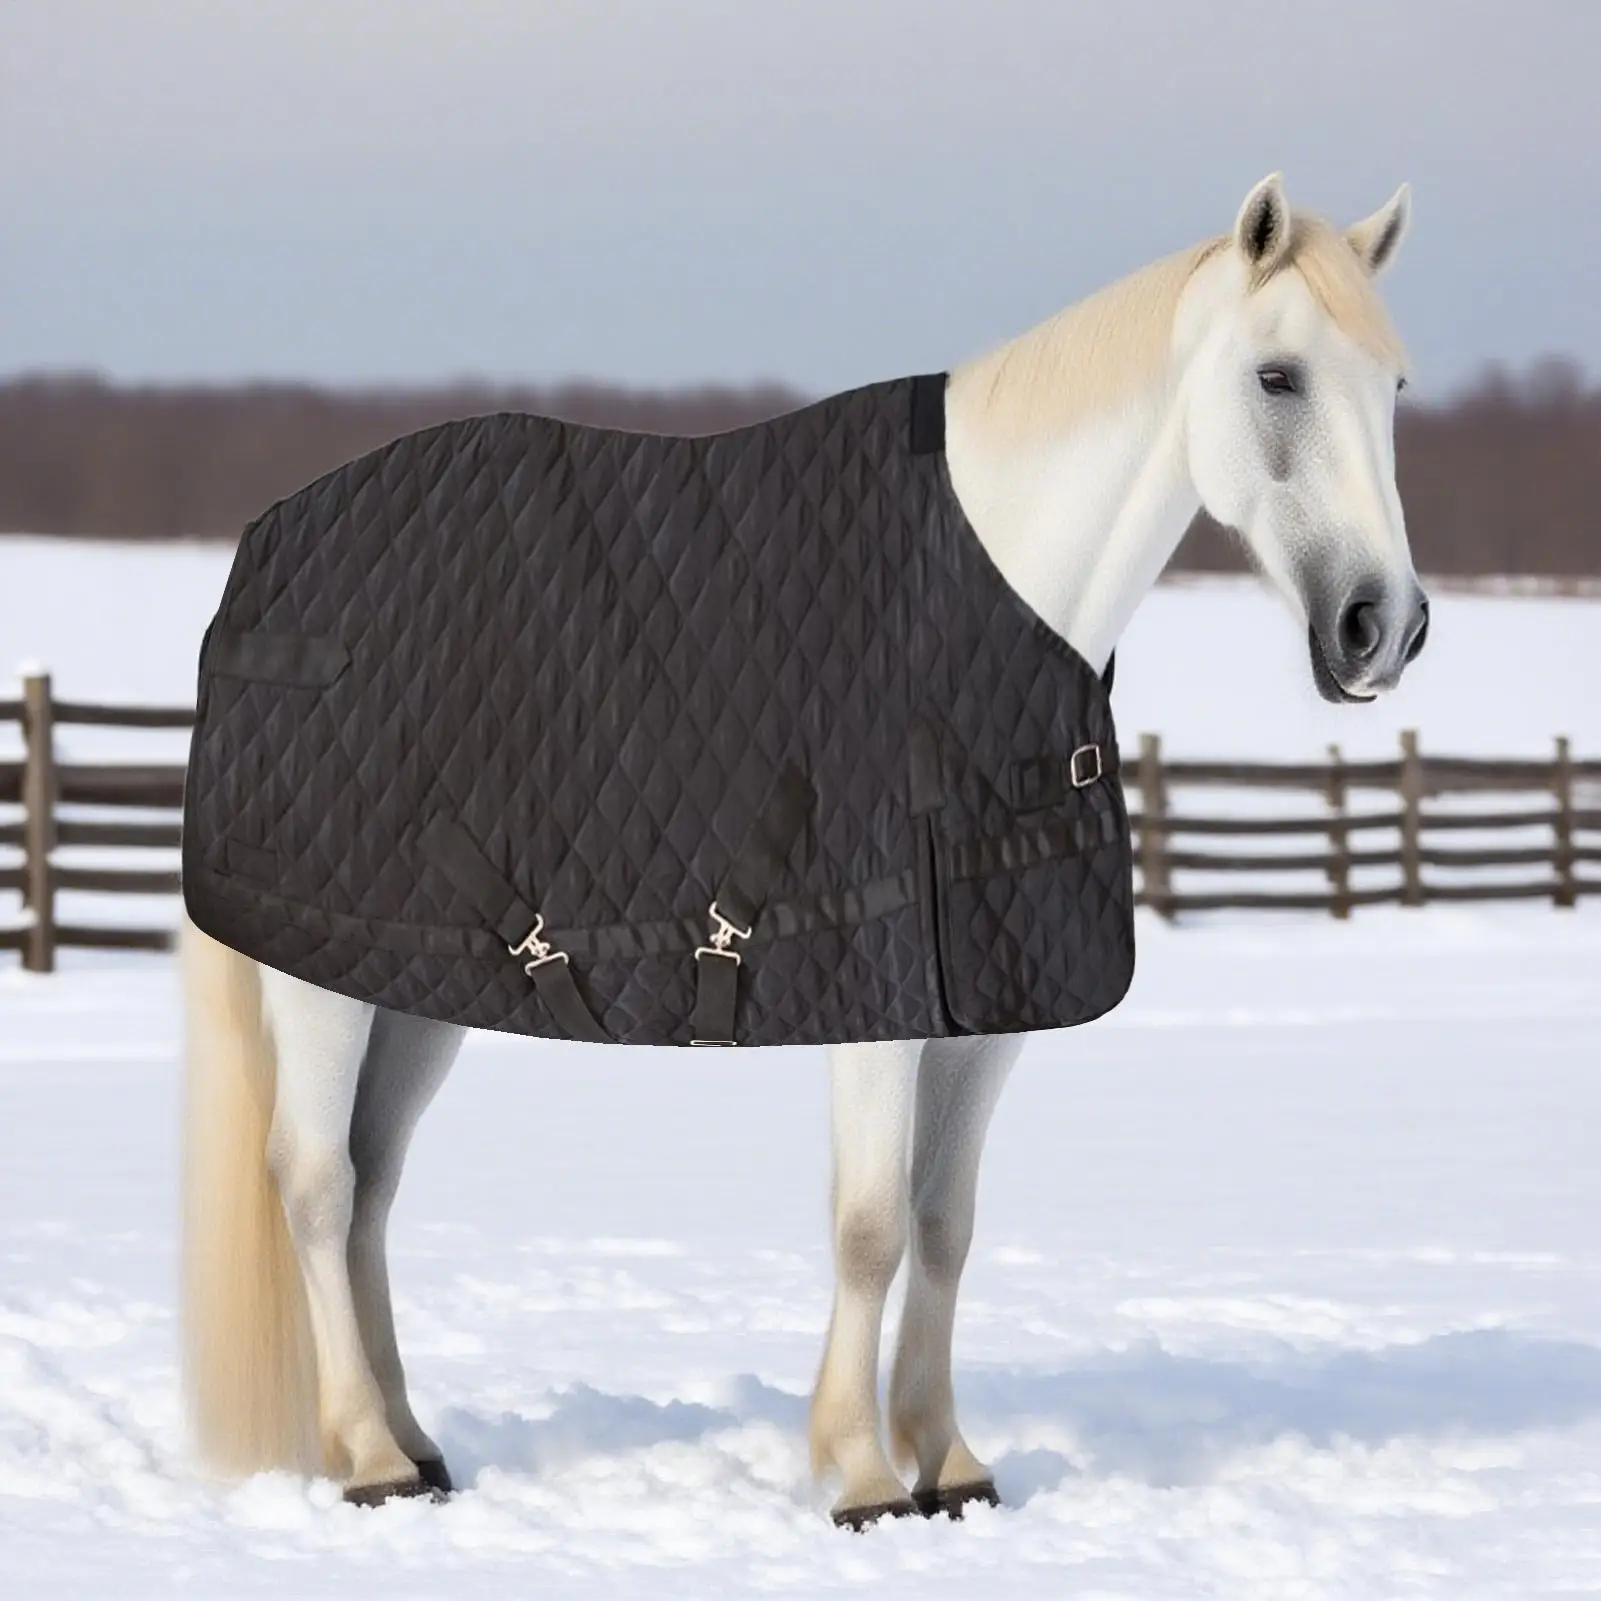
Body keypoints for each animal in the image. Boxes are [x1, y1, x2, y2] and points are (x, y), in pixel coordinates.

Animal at [180, 173, 1428, 1524]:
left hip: (410, 988)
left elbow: (945, 1223)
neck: (991, 599)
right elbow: (871, 1226)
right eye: (1275, 377)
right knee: (314, 1181)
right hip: (319, 981)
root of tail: (257, 560)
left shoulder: (988, 1001)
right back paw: (364, 1452)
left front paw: (948, 1460)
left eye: (1393, 385)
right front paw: (862, 1473)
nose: (1381, 627)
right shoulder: (876, 986)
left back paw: (414, 1445)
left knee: (371, 1183)